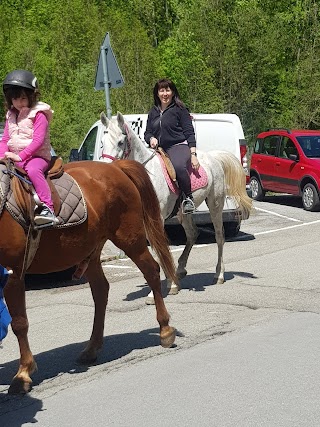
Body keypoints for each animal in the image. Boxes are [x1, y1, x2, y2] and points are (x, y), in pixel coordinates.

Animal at [1, 160, 178, 394]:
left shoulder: (13, 274)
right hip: (91, 251)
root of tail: (116, 166)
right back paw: (92, 348)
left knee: (151, 272)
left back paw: (165, 330)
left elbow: (19, 323)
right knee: (101, 290)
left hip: (131, 239)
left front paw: (23, 374)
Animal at [100, 111, 252, 304]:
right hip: (183, 213)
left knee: (219, 236)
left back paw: (219, 274)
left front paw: (155, 293)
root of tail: (213, 157)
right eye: (102, 143)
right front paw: (171, 284)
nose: (105, 171)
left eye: (120, 142)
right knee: (193, 234)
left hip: (216, 204)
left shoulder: (156, 219)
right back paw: (180, 271)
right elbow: (160, 249)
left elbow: (158, 251)